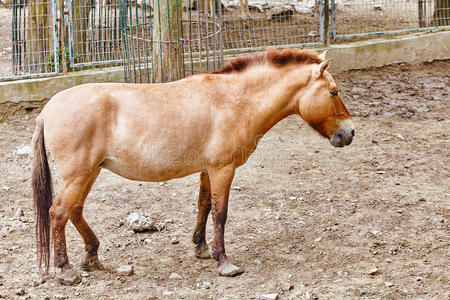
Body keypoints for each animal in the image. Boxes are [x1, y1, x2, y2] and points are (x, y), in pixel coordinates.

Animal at [31, 48, 356, 284]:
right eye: (334, 92)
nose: (350, 132)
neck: (236, 101)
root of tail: (48, 109)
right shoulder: (223, 169)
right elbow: (221, 213)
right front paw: (224, 262)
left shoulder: (207, 170)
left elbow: (204, 206)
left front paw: (201, 249)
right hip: (79, 175)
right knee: (58, 212)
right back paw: (66, 270)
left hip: (91, 171)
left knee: (75, 211)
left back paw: (91, 257)